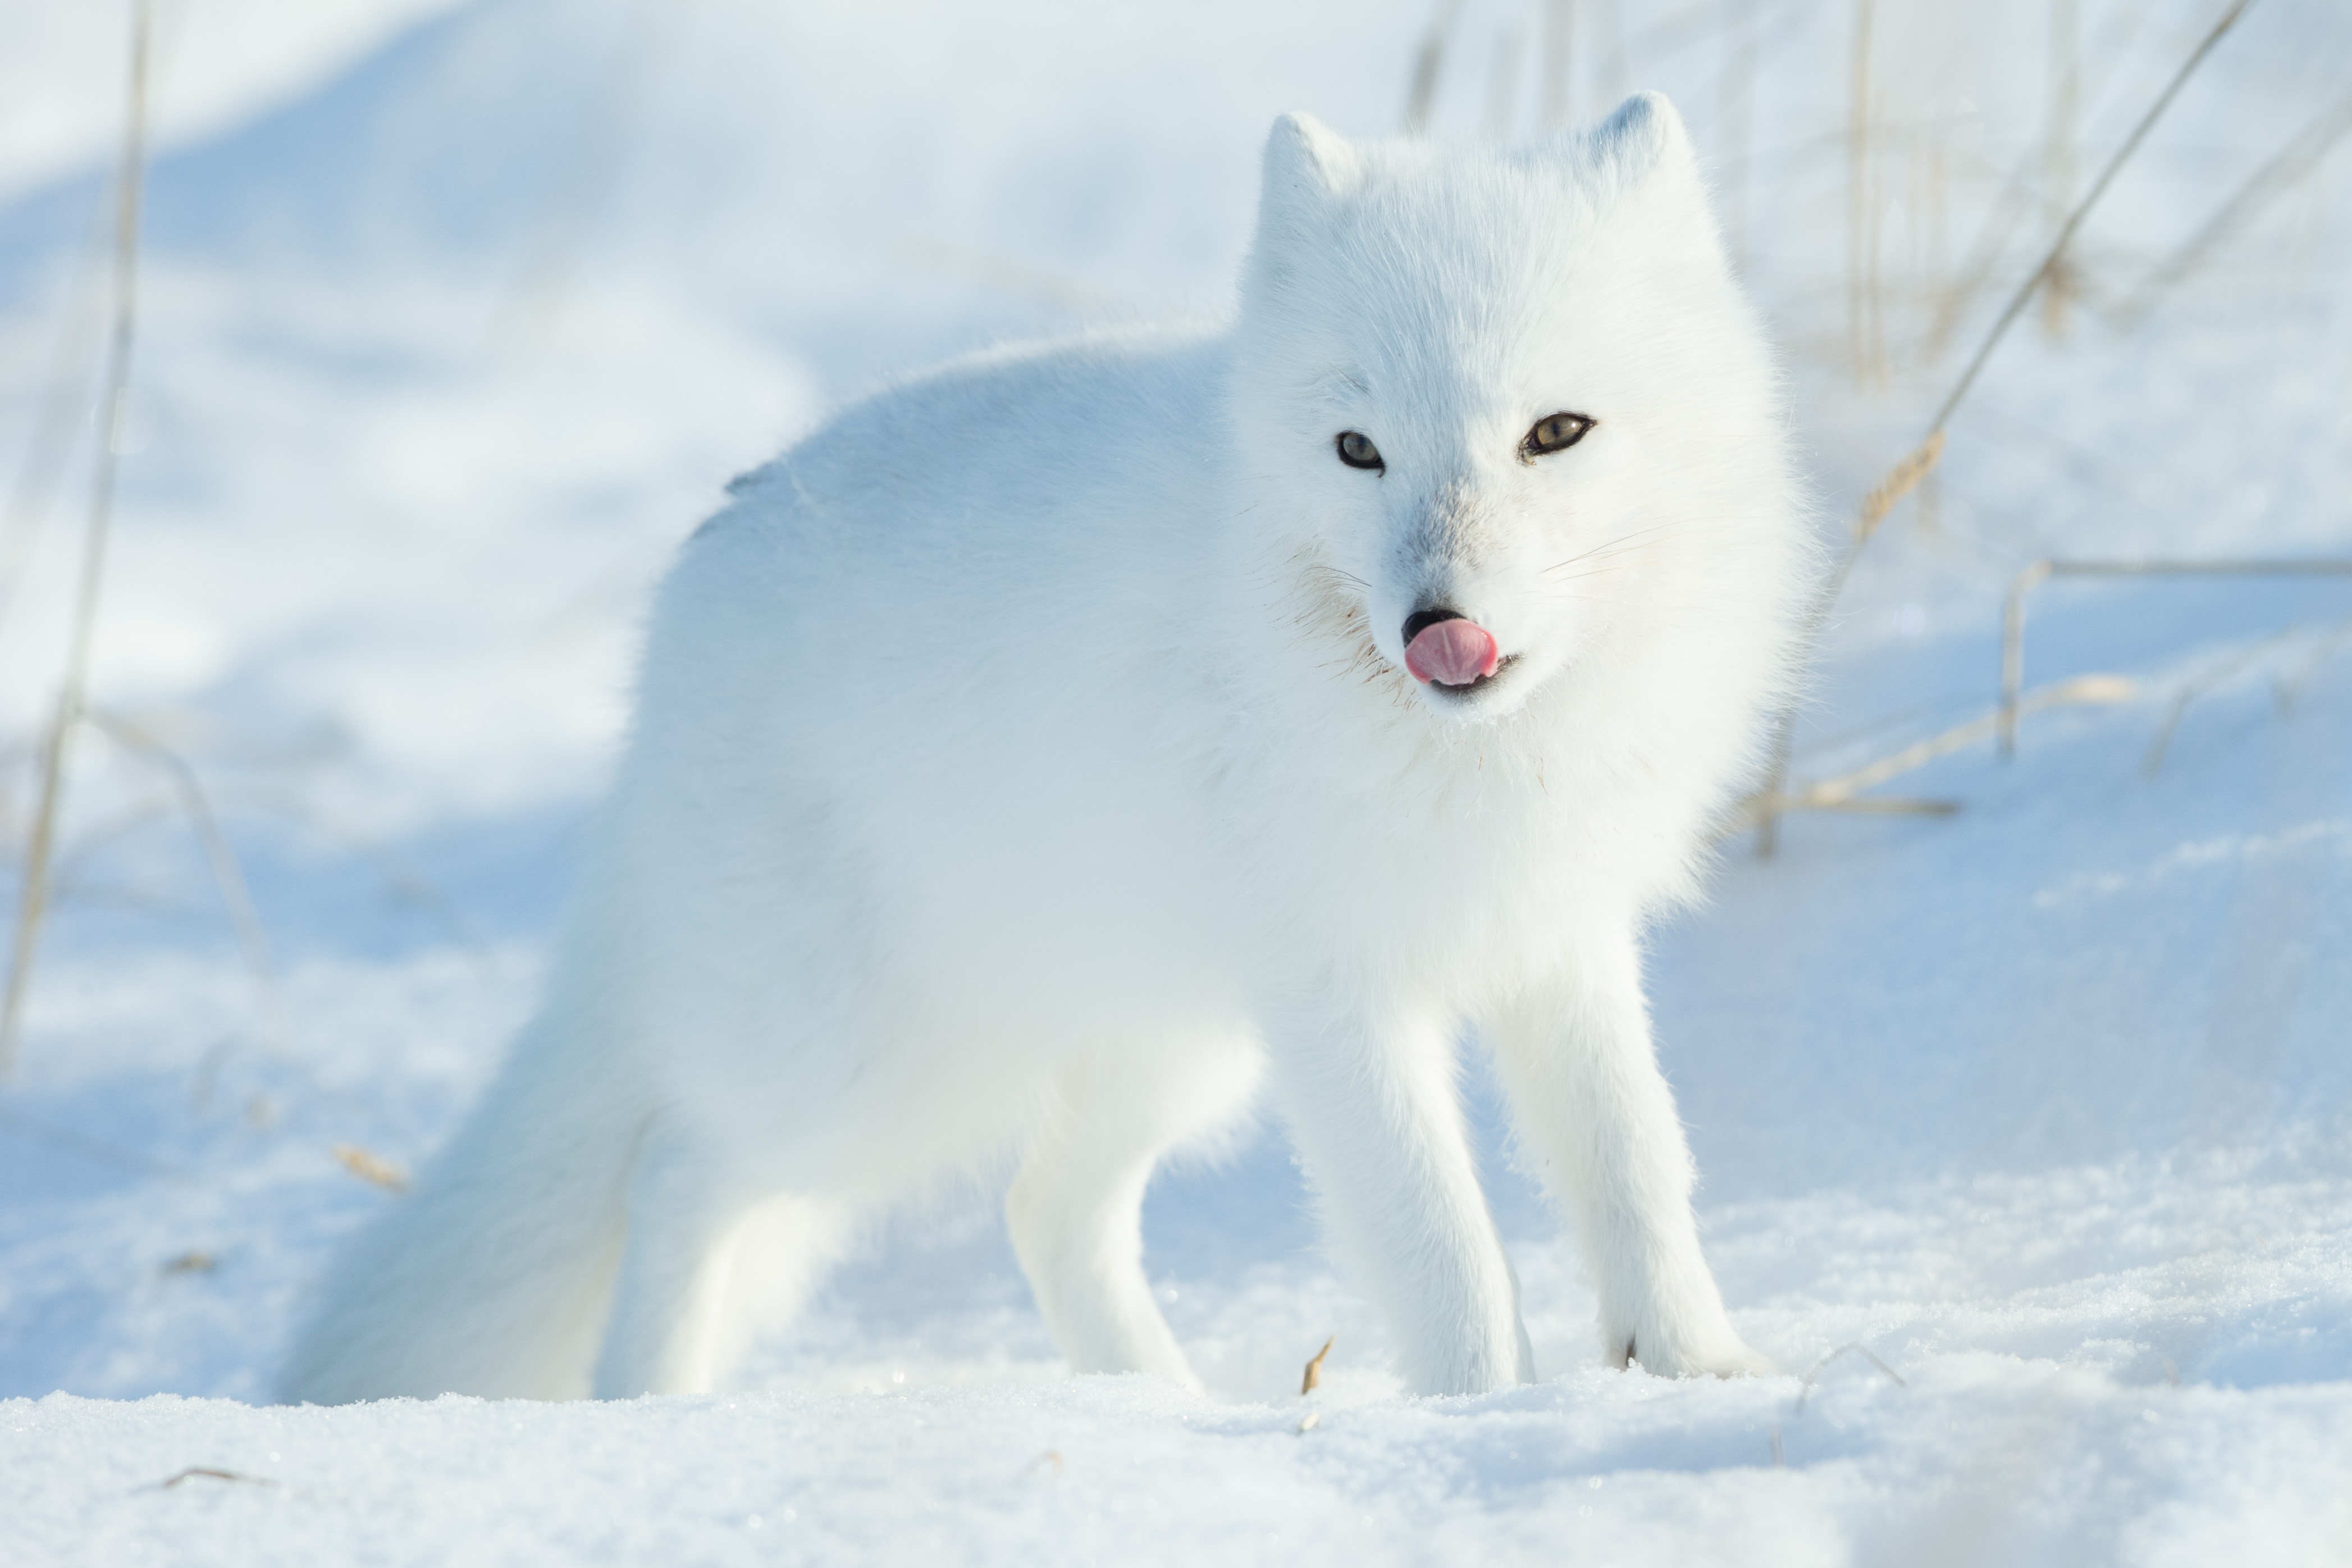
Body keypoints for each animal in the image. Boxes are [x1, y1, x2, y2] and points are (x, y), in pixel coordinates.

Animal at [280, 92, 1815, 1401]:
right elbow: (1436, 1236)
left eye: (1557, 432)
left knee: (1041, 1207)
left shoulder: (1556, 934)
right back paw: (653, 1403)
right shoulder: (1340, 990)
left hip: (1164, 1040)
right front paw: (1484, 1412)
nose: (1434, 623)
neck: (1474, 758)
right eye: (1356, 448)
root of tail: (697, 569)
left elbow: (1635, 1169)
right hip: (876, 1073)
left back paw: (1161, 1411)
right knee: (677, 1169)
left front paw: (1699, 1373)